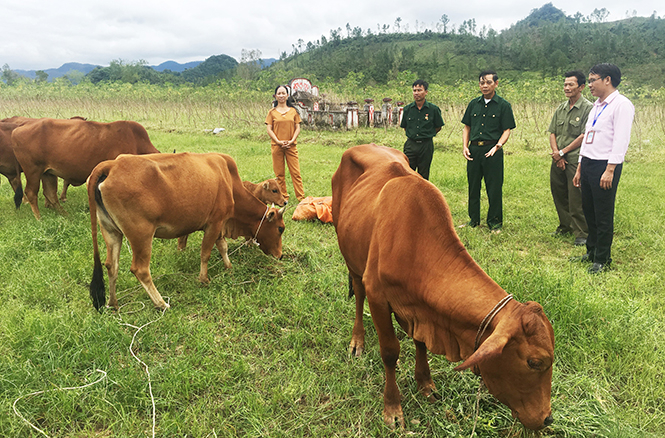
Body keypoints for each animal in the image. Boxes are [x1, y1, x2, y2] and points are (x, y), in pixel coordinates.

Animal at [12, 118, 160, 219]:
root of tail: (18, 128)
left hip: (47, 173)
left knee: (50, 194)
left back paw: (64, 214)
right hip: (33, 170)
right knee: (31, 193)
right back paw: (39, 218)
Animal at [89, 152, 286, 310]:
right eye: (280, 228)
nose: (280, 255)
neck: (229, 182)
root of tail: (112, 165)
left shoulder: (220, 224)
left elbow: (222, 247)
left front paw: (228, 266)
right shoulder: (214, 223)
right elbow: (206, 253)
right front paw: (204, 279)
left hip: (111, 231)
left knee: (111, 266)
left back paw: (113, 303)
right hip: (141, 235)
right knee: (141, 270)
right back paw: (161, 303)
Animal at [332, 145, 556, 432]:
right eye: (534, 362)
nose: (547, 418)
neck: (415, 242)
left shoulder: (419, 308)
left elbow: (420, 342)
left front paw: (426, 384)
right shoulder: (379, 298)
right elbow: (390, 352)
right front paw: (392, 408)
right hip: (351, 259)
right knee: (358, 296)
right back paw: (357, 341)